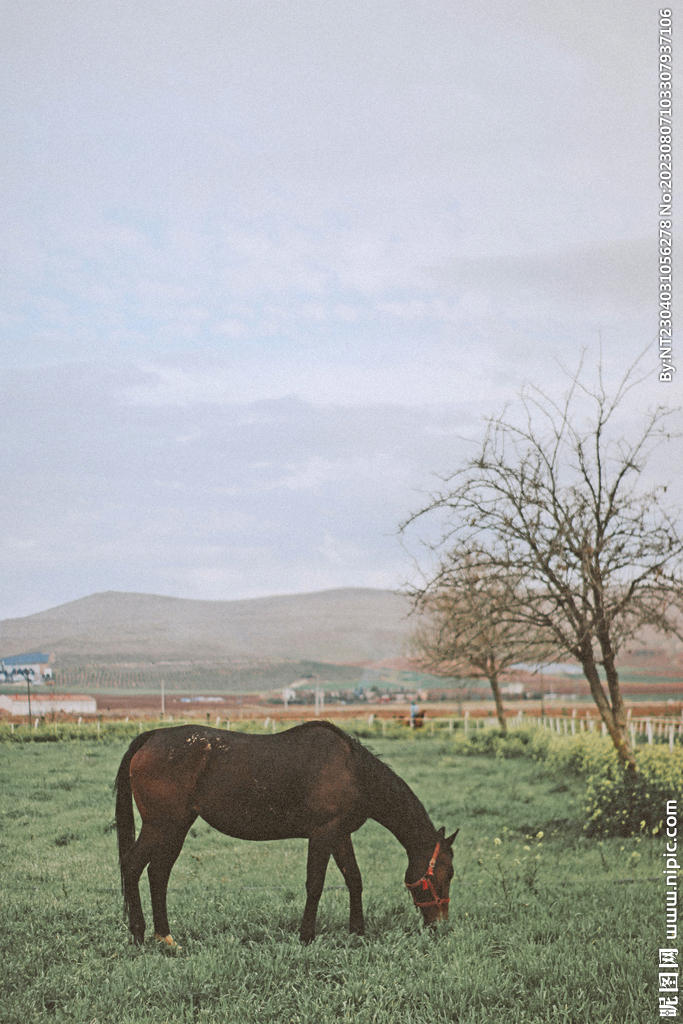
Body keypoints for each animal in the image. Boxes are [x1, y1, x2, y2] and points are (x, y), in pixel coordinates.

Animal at [114, 720, 458, 946]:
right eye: (447, 872)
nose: (441, 926)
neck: (353, 770)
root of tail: (152, 738)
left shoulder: (340, 835)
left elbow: (354, 879)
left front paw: (357, 931)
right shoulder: (322, 835)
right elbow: (315, 885)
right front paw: (306, 936)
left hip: (174, 829)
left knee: (158, 874)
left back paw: (164, 937)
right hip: (162, 826)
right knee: (132, 867)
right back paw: (140, 934)